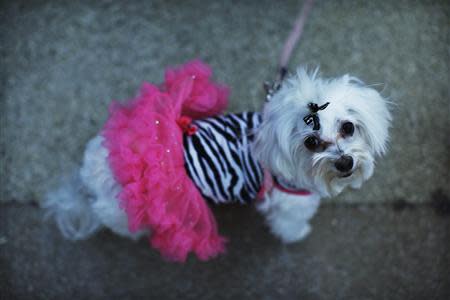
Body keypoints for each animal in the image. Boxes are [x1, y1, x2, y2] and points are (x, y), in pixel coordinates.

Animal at [44, 67, 392, 250]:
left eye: (348, 127)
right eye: (311, 142)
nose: (345, 163)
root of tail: (91, 165)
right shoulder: (289, 202)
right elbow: (289, 223)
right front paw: (297, 235)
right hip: (120, 206)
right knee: (110, 216)